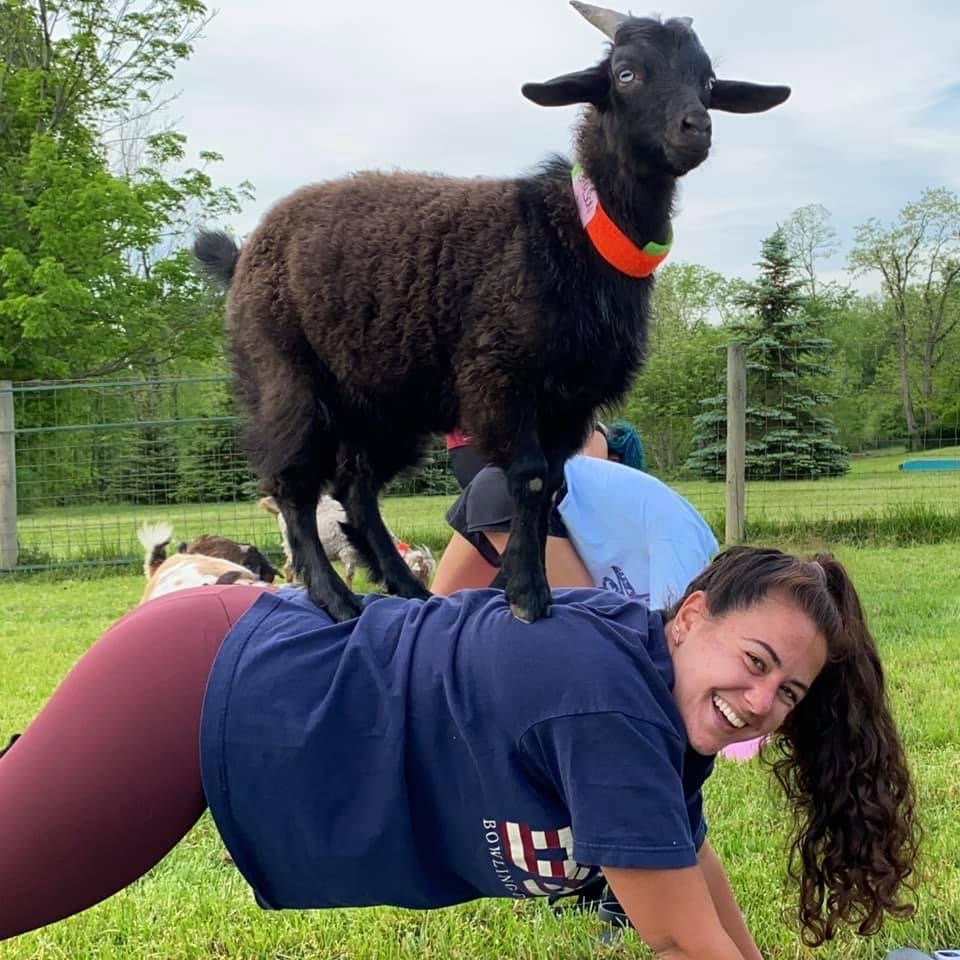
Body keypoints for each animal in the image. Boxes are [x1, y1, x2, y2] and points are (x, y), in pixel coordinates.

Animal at [258, 495, 435, 592]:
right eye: (419, 574)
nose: (426, 590)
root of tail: (278, 510)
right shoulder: (348, 551)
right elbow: (350, 575)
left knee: (288, 567)